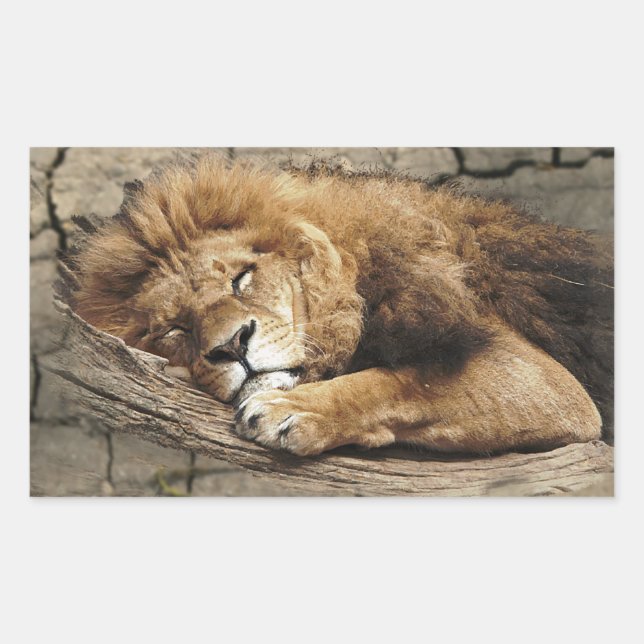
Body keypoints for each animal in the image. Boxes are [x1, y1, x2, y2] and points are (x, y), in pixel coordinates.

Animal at [65, 153, 614, 456]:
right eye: (175, 329)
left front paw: (291, 409)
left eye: (242, 279)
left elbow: (400, 382)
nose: (232, 346)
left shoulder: (545, 381)